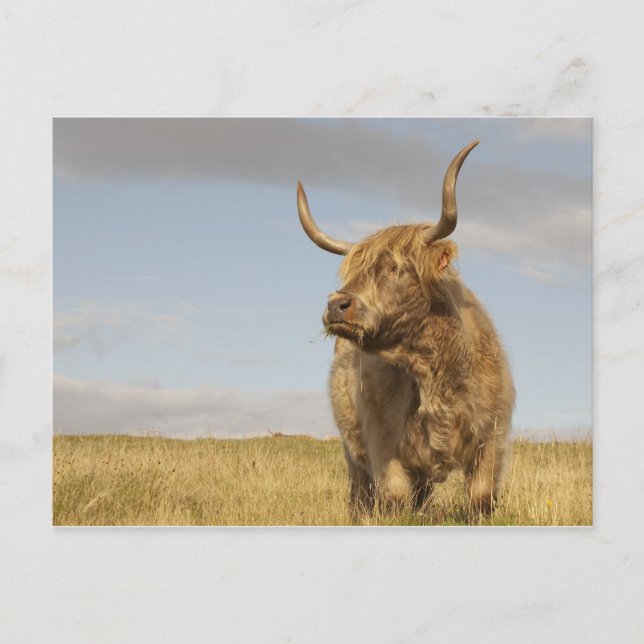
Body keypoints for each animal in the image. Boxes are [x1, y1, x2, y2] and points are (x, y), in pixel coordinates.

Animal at [296, 141, 515, 517]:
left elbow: (481, 498)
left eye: (396, 267)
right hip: (352, 449)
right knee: (361, 491)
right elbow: (394, 498)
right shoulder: (382, 440)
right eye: (352, 271)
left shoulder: (492, 437)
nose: (336, 304)